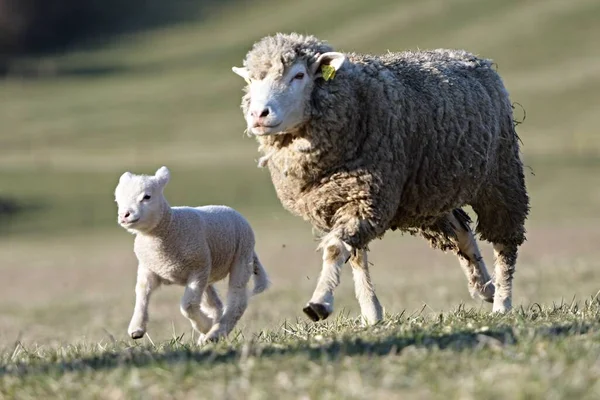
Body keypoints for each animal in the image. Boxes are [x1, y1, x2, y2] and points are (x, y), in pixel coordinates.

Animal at [115, 166, 270, 344]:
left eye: (147, 196)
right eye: (118, 199)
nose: (124, 215)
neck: (170, 226)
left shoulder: (197, 270)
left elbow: (187, 305)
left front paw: (206, 325)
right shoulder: (149, 269)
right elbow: (141, 293)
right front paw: (136, 329)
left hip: (241, 256)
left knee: (237, 300)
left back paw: (215, 333)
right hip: (209, 272)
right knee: (216, 305)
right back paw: (208, 335)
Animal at [231, 31, 528, 324]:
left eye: (299, 75)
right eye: (252, 79)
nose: (258, 114)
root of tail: (468, 56)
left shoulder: (366, 195)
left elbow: (335, 250)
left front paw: (319, 303)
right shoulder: (345, 199)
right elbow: (355, 256)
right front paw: (371, 313)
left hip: (500, 175)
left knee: (504, 242)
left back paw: (502, 301)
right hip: (427, 193)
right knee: (461, 232)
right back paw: (484, 288)